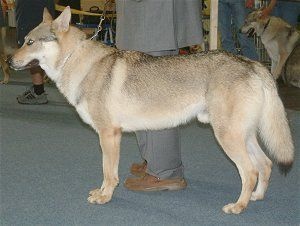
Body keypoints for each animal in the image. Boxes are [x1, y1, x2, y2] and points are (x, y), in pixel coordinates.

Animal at [8, 7, 294, 215]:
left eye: (30, 42)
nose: (9, 60)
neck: (80, 64)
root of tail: (254, 64)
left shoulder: (109, 135)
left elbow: (108, 173)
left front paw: (104, 197)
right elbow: (106, 172)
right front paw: (101, 193)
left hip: (228, 138)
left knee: (251, 171)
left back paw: (238, 206)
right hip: (244, 136)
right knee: (266, 164)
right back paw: (257, 197)